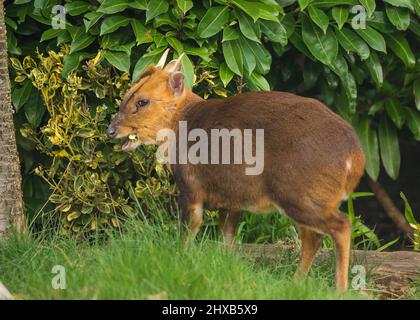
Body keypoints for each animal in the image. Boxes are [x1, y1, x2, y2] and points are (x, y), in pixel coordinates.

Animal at [107, 50, 364, 292]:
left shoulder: (191, 188)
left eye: (143, 102)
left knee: (340, 227)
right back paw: (296, 283)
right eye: (128, 94)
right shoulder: (231, 201)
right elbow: (227, 240)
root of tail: (356, 158)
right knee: (314, 238)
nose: (111, 130)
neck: (182, 124)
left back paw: (339, 289)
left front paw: (180, 262)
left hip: (298, 193)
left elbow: (188, 232)